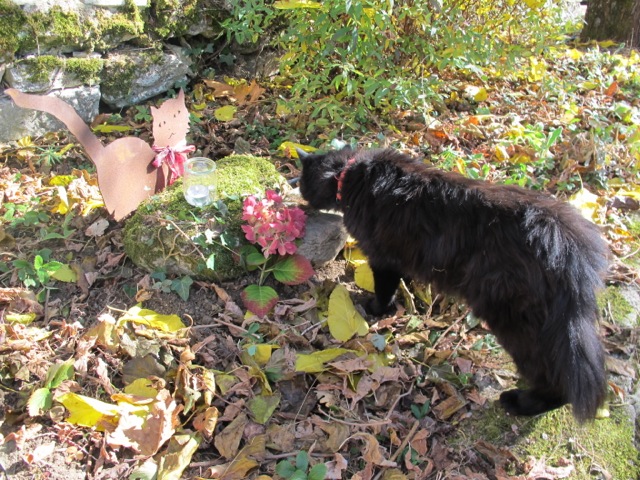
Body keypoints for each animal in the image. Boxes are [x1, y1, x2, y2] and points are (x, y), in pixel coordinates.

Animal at [298, 146, 608, 421]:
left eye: (301, 182)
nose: (300, 196)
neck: (349, 174)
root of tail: (565, 243)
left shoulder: (381, 257)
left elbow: (384, 290)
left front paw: (374, 308)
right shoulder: (400, 258)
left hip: (516, 322)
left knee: (556, 380)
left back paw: (520, 403)